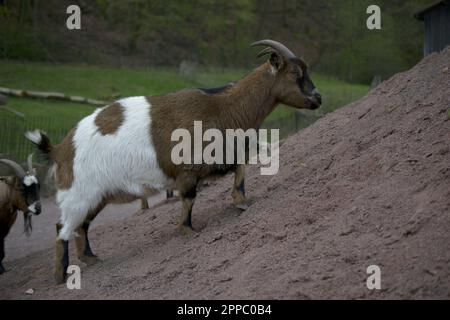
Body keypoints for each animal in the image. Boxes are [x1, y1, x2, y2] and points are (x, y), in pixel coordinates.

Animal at [25, 39, 320, 282]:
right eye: (296, 74)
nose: (318, 98)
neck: (223, 108)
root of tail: (60, 149)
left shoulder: (222, 158)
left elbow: (240, 170)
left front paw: (241, 201)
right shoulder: (188, 171)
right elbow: (189, 198)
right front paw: (187, 230)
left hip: (97, 195)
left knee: (81, 225)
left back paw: (90, 258)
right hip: (77, 192)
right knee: (62, 227)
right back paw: (60, 275)